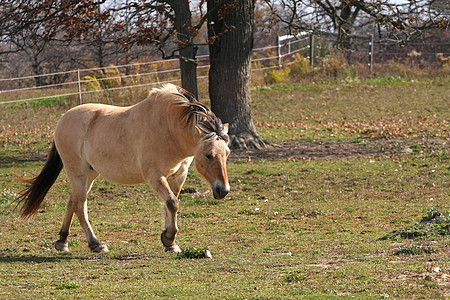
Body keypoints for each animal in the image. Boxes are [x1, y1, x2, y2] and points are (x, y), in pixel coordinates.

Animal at [16, 84, 230, 253]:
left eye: (227, 153)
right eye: (208, 155)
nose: (223, 190)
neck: (169, 127)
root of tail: (63, 119)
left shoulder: (177, 176)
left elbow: (169, 205)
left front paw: (170, 243)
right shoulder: (154, 176)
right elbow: (172, 203)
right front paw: (169, 238)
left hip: (89, 174)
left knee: (72, 202)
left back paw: (62, 241)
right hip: (78, 171)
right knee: (80, 205)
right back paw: (96, 244)